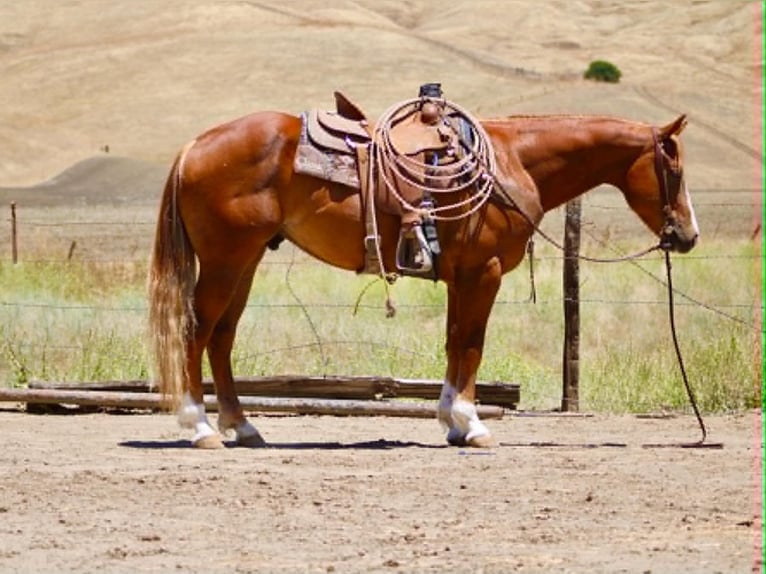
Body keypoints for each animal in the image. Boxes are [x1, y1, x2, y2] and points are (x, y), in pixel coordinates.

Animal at [147, 107, 698, 449]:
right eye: (674, 170)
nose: (688, 235)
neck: (510, 162)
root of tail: (195, 146)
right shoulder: (483, 273)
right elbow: (472, 344)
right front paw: (473, 425)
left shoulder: (462, 277)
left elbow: (455, 343)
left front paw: (452, 420)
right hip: (226, 261)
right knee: (196, 332)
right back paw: (200, 427)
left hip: (246, 261)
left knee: (221, 337)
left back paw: (243, 427)